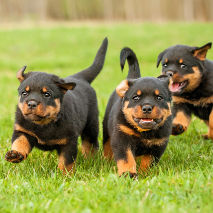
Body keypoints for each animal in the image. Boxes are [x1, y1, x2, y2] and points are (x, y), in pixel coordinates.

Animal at [5, 37, 108, 174]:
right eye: (24, 93)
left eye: (47, 94)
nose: (31, 103)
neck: (43, 124)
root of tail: (80, 78)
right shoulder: (22, 130)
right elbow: (20, 142)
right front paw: (15, 154)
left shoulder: (69, 141)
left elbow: (66, 161)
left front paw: (64, 175)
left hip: (91, 125)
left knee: (90, 143)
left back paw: (91, 160)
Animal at [103, 48, 171, 178]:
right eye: (136, 97)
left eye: (159, 97)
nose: (147, 108)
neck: (144, 133)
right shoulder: (122, 138)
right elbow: (127, 158)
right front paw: (128, 174)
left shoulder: (158, 144)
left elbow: (148, 161)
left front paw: (145, 174)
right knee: (107, 146)